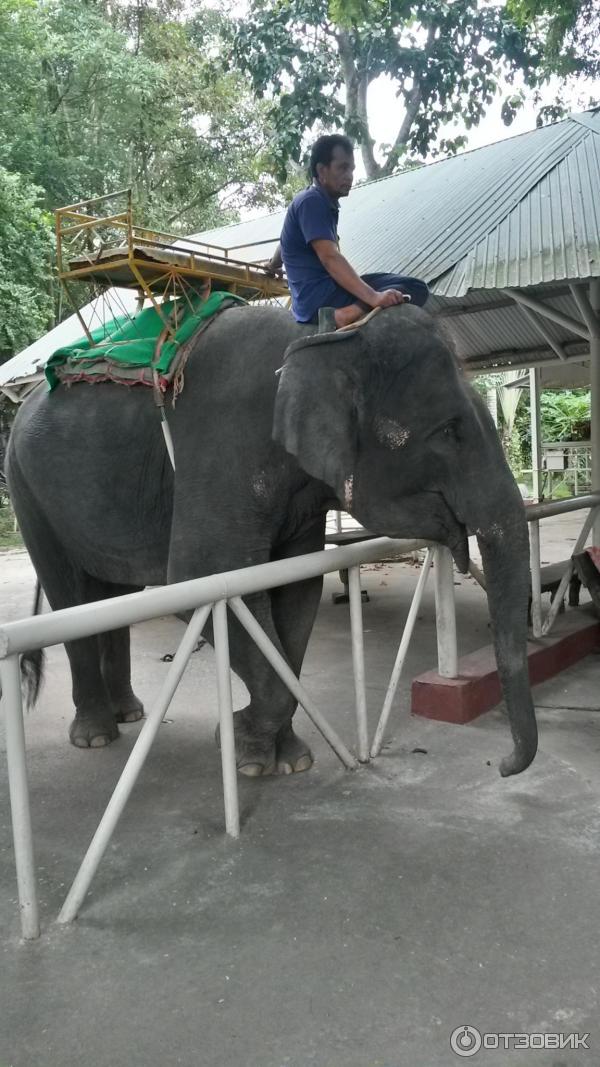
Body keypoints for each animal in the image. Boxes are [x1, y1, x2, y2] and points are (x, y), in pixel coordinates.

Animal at [5, 300, 538, 776]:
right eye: (448, 431)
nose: (503, 765)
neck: (321, 336)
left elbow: (295, 594)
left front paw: (284, 757)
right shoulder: (224, 445)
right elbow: (203, 578)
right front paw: (237, 741)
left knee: (111, 595)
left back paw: (129, 713)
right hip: (26, 488)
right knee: (71, 595)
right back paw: (96, 735)